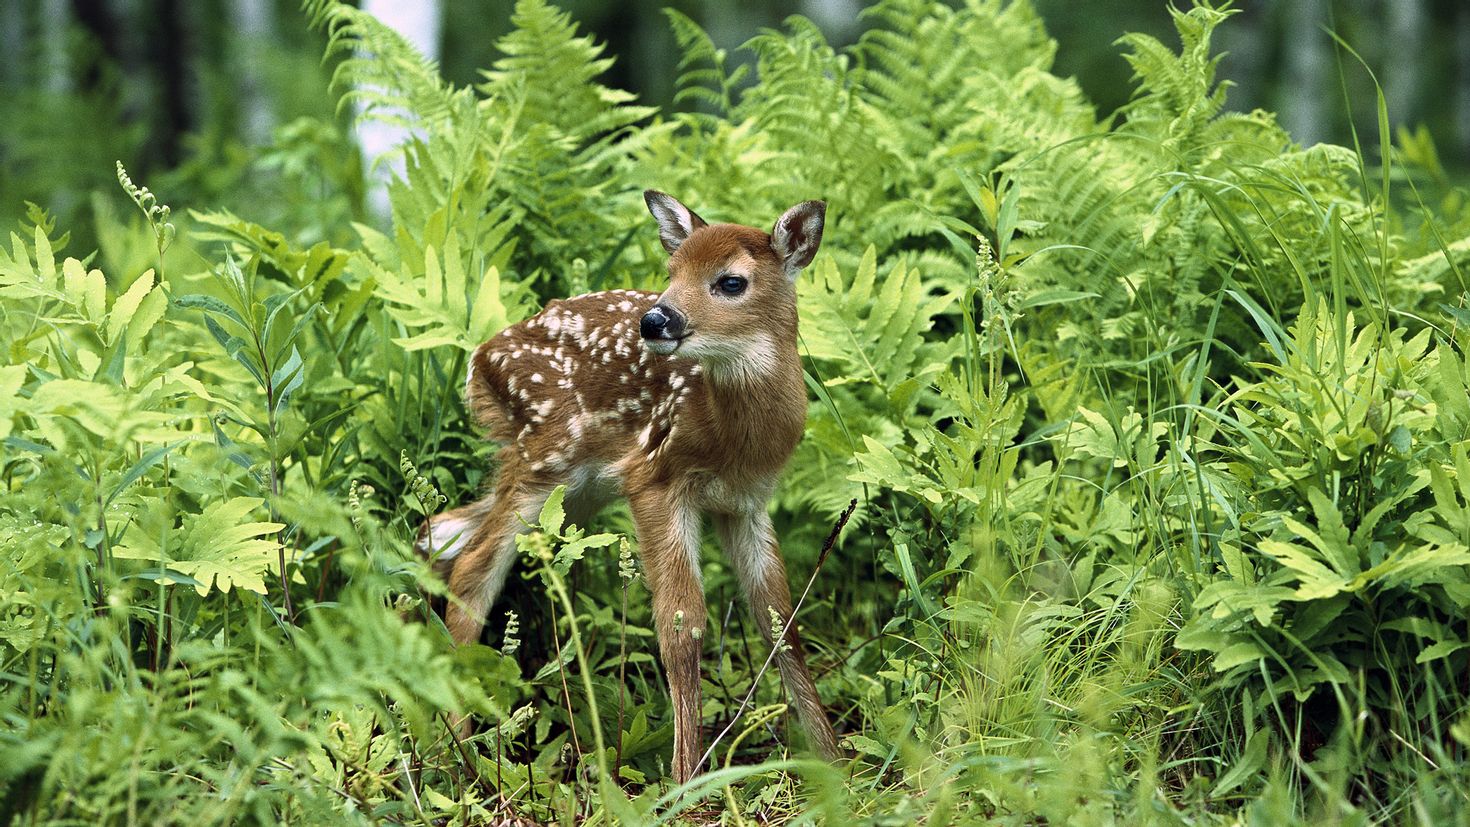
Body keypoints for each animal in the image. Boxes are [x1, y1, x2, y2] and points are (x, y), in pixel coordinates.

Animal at [420, 192, 846, 781]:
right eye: (671, 272)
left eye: (730, 282)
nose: (656, 319)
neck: (731, 438)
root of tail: (477, 360)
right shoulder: (654, 479)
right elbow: (682, 625)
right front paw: (685, 779)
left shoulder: (746, 503)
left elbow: (779, 619)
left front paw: (836, 762)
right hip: (544, 455)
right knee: (472, 566)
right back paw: (460, 751)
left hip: (575, 488)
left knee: (441, 532)